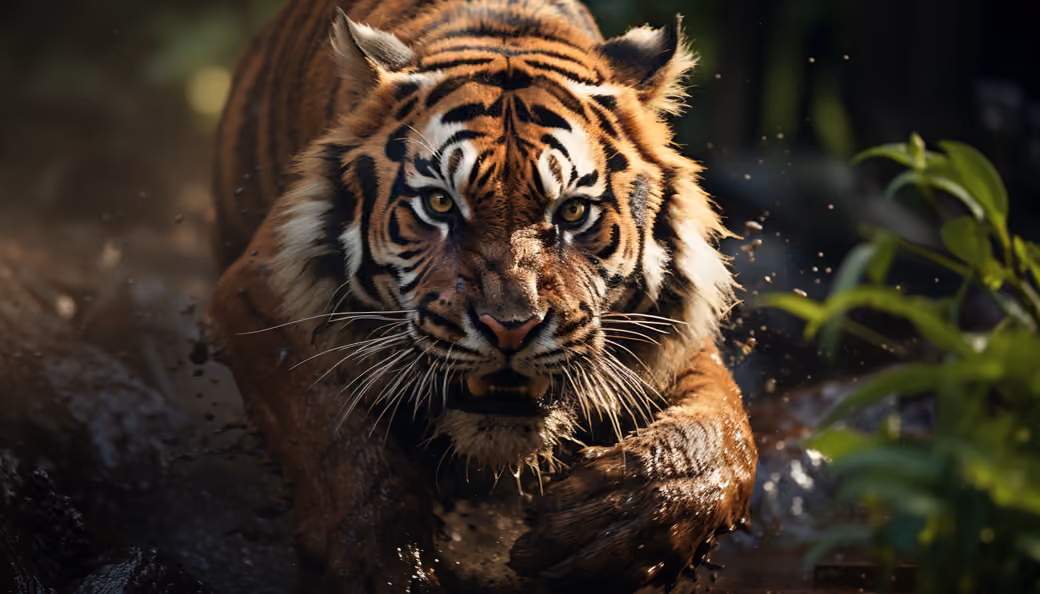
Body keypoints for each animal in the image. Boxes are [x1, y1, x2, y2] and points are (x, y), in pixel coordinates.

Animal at [207, 0, 758, 591]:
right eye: (440, 205)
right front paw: (383, 560)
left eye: (572, 211)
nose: (510, 328)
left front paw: (617, 524)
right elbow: (333, 435)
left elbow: (721, 429)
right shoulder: (258, 296)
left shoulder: (674, 333)